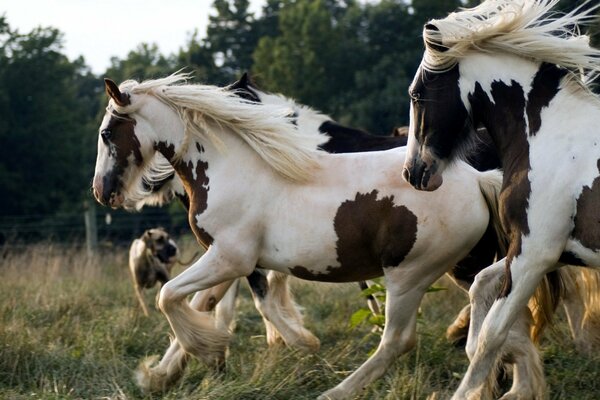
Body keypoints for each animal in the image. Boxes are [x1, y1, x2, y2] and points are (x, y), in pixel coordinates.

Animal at [91, 73, 512, 398]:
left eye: (107, 133)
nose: (102, 191)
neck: (233, 167)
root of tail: (478, 179)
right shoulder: (229, 261)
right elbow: (200, 303)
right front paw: (162, 375)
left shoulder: (231, 259)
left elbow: (169, 296)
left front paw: (222, 352)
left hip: (412, 274)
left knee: (400, 340)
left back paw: (337, 391)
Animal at [400, 1, 600, 398]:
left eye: (416, 94)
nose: (413, 172)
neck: (552, 137)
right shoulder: (550, 251)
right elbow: (480, 288)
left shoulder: (535, 254)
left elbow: (491, 335)